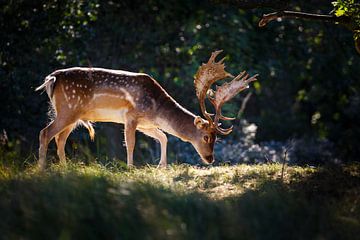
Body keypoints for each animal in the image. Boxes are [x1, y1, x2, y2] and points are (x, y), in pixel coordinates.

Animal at [35, 50, 256, 169]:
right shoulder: (131, 116)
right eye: (206, 137)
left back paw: (64, 168)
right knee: (45, 132)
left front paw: (162, 165)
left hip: (72, 115)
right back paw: (42, 168)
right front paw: (130, 167)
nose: (210, 158)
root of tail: (51, 78)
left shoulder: (146, 124)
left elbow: (164, 137)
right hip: (68, 109)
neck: (156, 109)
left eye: (217, 138)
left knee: (59, 138)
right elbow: (131, 143)